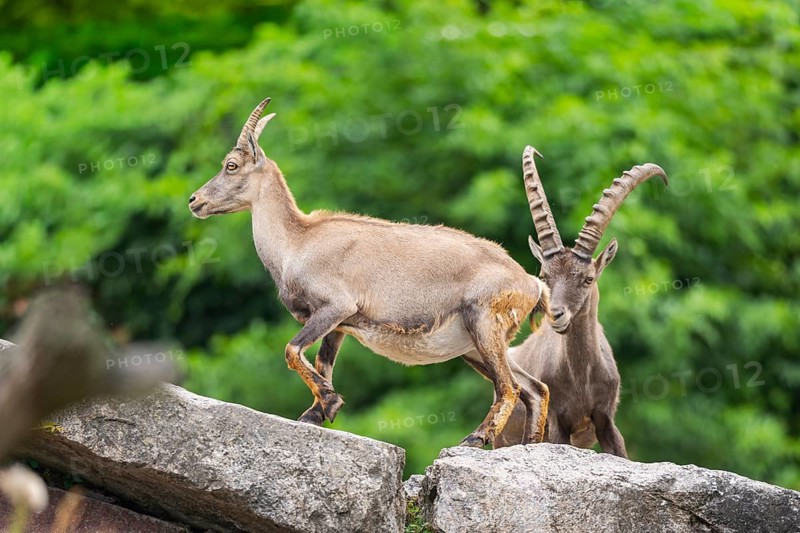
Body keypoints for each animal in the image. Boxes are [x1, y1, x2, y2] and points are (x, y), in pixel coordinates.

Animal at [188, 98, 551, 446]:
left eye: (231, 165)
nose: (194, 200)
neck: (297, 241)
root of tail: (532, 283)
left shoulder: (336, 305)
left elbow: (292, 350)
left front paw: (330, 402)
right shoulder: (337, 324)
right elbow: (322, 363)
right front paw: (316, 413)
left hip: (484, 323)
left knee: (510, 387)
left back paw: (477, 437)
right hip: (476, 345)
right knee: (536, 389)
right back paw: (529, 444)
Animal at [494, 146, 667, 457]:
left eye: (587, 279)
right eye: (544, 276)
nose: (557, 315)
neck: (581, 377)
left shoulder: (605, 419)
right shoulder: (556, 423)